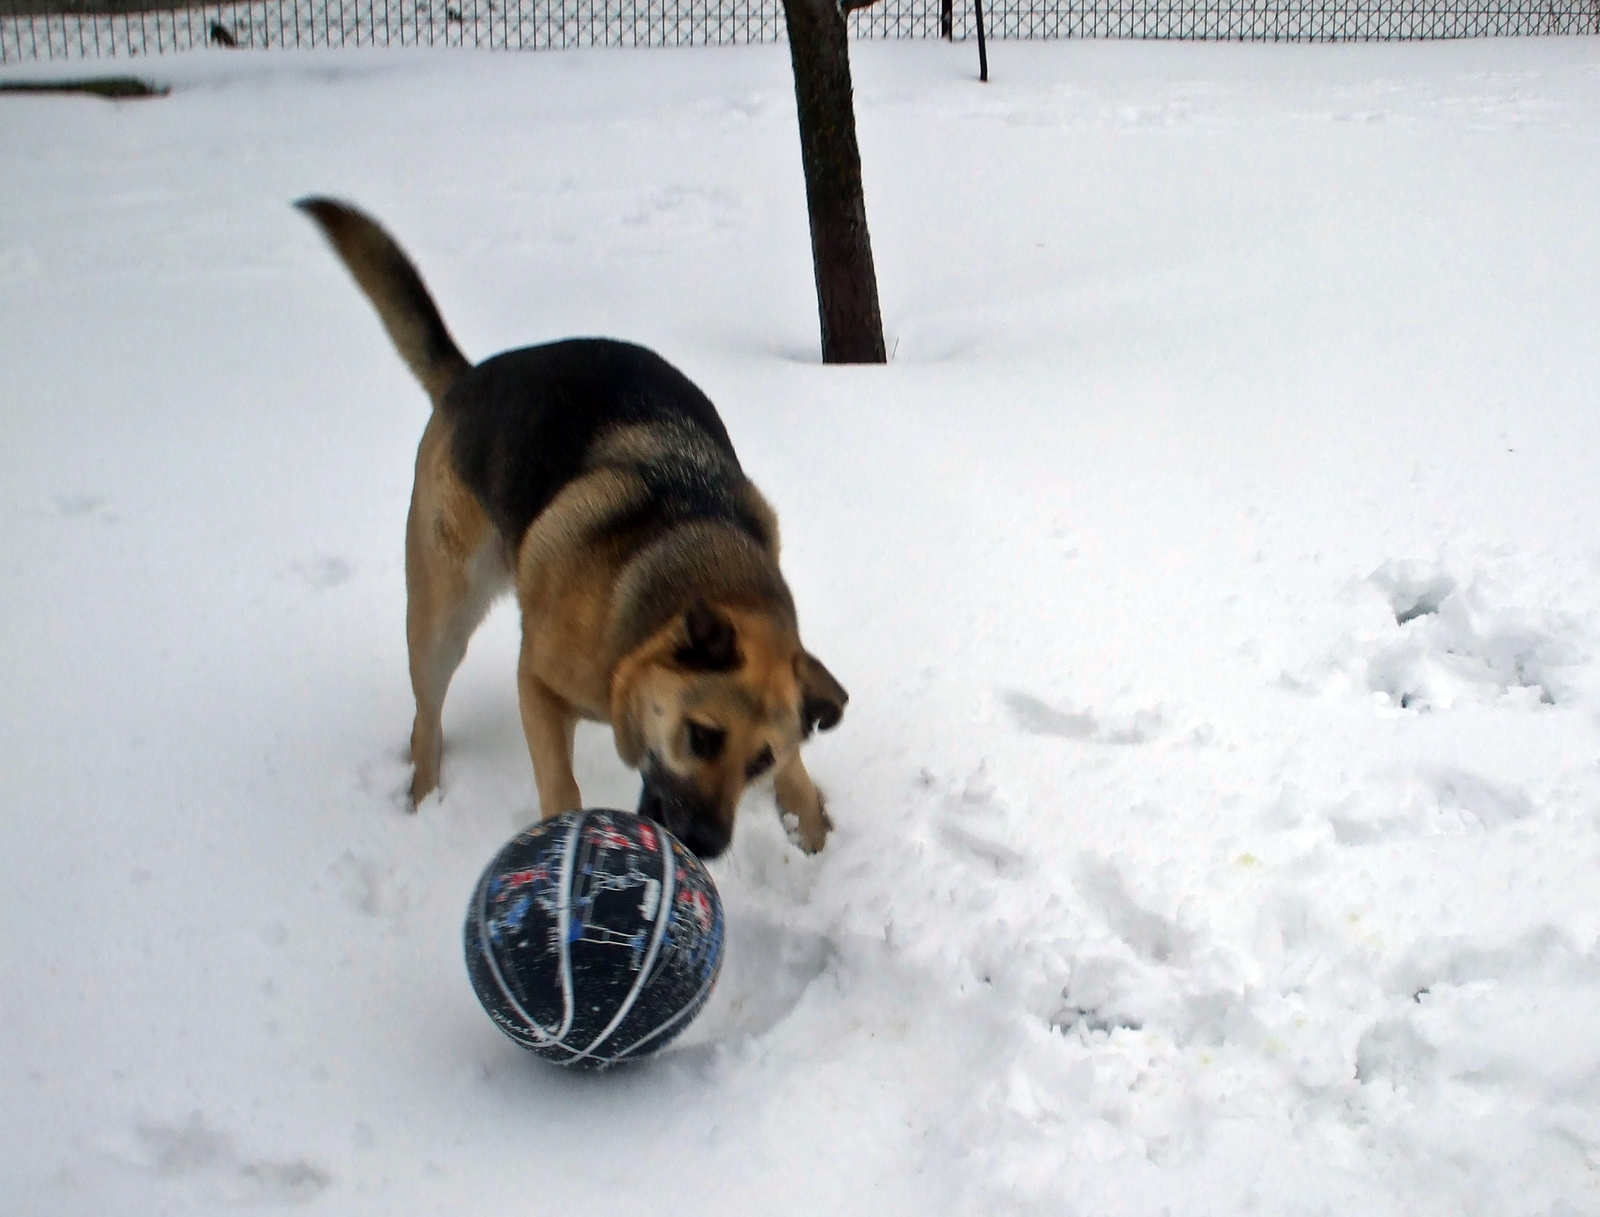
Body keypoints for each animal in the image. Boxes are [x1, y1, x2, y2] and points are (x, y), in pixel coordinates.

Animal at [300, 199, 851, 857]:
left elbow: (800, 774)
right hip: (442, 618)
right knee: (425, 721)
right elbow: (559, 785)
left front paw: (809, 821)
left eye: (759, 762)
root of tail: (469, 377)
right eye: (703, 736)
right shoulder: (537, 684)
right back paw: (424, 798)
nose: (707, 845)